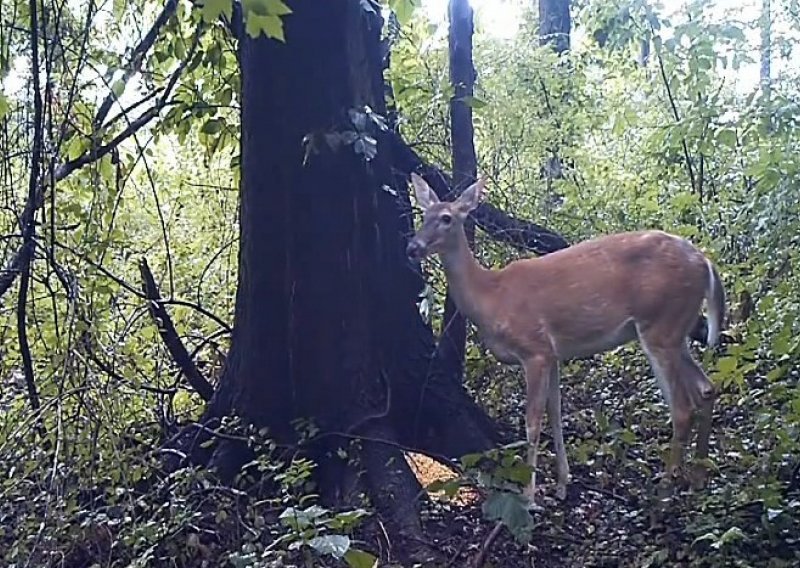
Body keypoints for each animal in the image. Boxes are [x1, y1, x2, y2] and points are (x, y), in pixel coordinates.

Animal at [406, 173, 724, 510]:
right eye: (423, 214)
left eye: (446, 218)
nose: (412, 247)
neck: (491, 296)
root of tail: (706, 263)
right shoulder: (553, 354)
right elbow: (556, 415)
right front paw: (561, 484)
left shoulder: (534, 349)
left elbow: (533, 422)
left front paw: (529, 496)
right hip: (677, 330)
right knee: (706, 388)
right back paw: (698, 477)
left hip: (660, 325)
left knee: (682, 407)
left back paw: (665, 491)